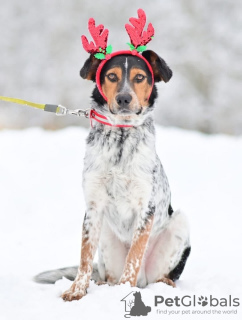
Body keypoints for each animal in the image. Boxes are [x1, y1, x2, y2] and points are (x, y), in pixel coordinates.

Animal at [34, 8, 191, 302]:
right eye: (112, 76)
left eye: (140, 77)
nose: (124, 99)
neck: (121, 138)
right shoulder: (93, 208)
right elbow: (84, 259)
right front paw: (77, 290)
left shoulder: (145, 209)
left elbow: (134, 256)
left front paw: (124, 291)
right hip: (106, 234)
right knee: (106, 273)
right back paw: (105, 284)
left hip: (180, 224)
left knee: (160, 276)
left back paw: (160, 284)